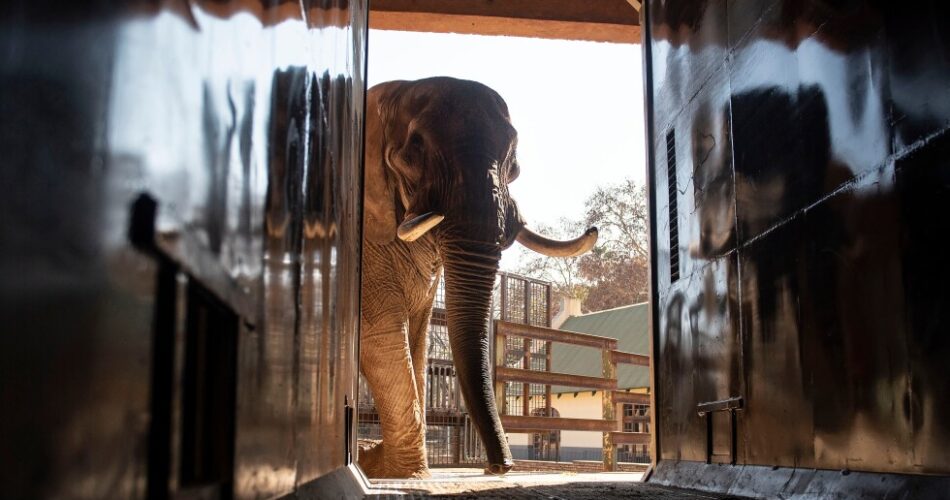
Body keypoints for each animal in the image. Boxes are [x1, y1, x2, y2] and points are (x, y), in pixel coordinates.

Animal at [358, 76, 598, 479]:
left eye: (514, 166)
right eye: (413, 151)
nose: (499, 467)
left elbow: (416, 342)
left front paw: (382, 465)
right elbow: (380, 335)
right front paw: (397, 471)